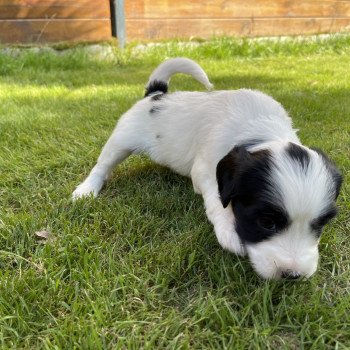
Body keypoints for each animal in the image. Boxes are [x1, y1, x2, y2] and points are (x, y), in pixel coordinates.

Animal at [72, 58, 344, 280]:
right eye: (266, 222)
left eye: (321, 224)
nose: (293, 275)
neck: (262, 131)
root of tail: (156, 94)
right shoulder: (205, 169)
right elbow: (216, 199)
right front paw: (228, 231)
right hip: (121, 140)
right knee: (103, 164)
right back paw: (87, 190)